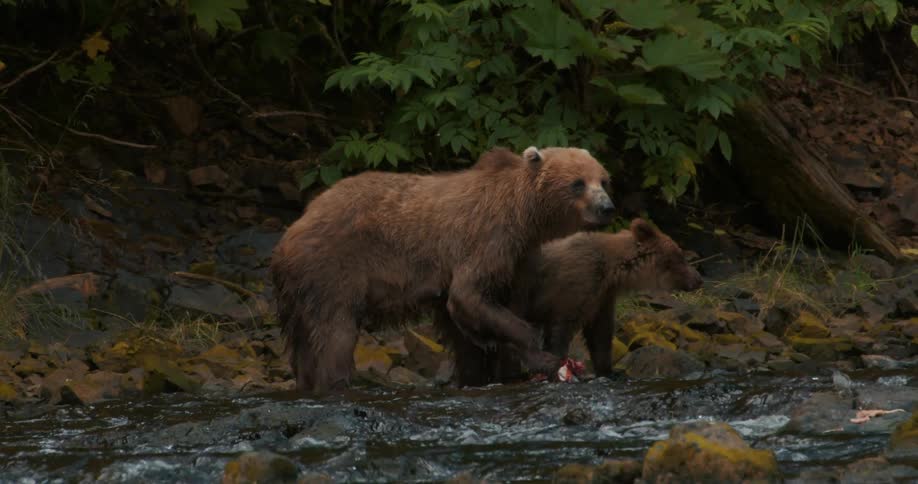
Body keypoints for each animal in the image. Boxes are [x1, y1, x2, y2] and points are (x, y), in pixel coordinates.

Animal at [270, 146, 614, 394]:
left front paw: (490, 370)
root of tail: (291, 232)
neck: (525, 215)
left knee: (302, 342)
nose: (606, 207)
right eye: (578, 183)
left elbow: (478, 321)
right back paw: (335, 383)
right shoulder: (487, 240)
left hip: (294, 292)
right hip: (333, 269)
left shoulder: (518, 259)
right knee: (334, 332)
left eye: (604, 179)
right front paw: (541, 356)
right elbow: (470, 296)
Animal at [434, 218, 703, 383]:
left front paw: (610, 371)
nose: (698, 279)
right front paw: (559, 368)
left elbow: (600, 334)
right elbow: (561, 330)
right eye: (679, 256)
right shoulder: (573, 286)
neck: (611, 268)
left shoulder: (601, 296)